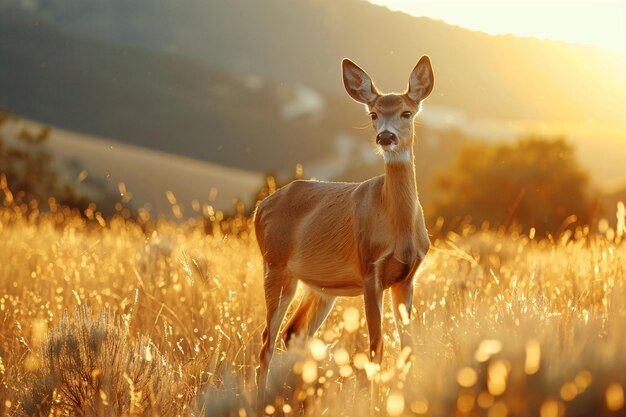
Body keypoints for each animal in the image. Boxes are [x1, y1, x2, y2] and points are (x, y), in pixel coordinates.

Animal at [254, 56, 434, 386]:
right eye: (373, 113)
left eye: (407, 112)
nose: (385, 136)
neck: (398, 227)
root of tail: (260, 207)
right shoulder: (370, 269)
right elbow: (376, 346)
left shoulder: (407, 277)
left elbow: (408, 347)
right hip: (275, 266)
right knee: (266, 340)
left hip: (321, 286)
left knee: (294, 332)